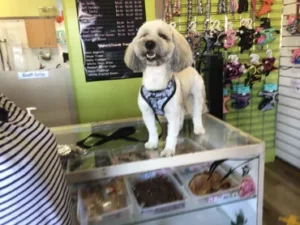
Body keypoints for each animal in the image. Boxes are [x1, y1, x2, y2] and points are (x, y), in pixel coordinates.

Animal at [124, 19, 206, 156]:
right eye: (144, 35)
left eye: (162, 36)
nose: (149, 43)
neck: (155, 80)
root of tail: (191, 66)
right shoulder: (147, 113)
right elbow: (152, 130)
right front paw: (152, 143)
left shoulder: (172, 113)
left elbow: (171, 135)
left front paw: (168, 150)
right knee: (181, 113)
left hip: (197, 96)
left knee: (197, 113)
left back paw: (198, 128)